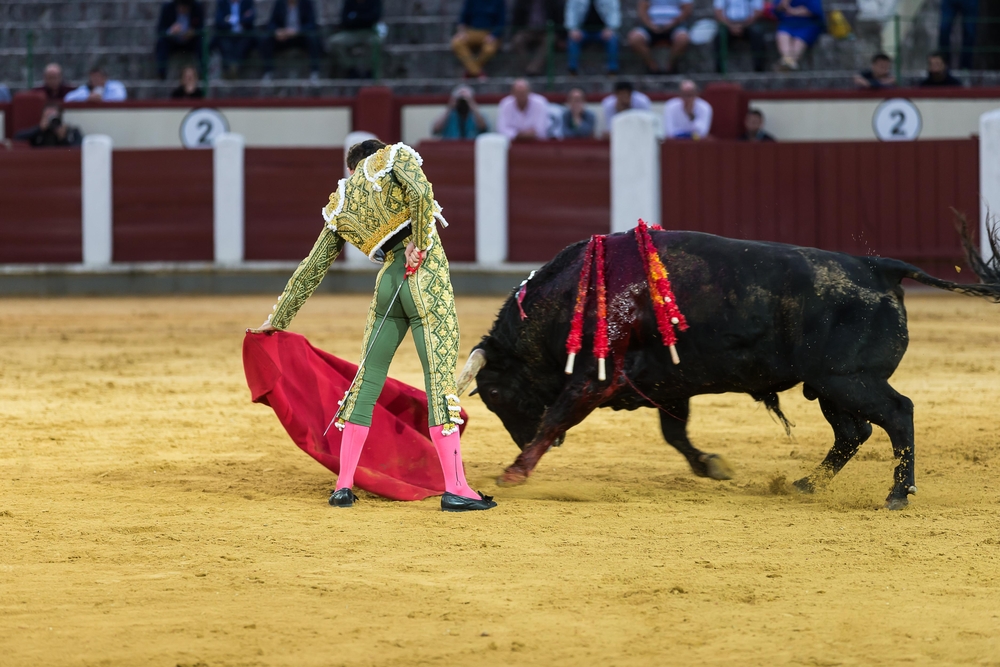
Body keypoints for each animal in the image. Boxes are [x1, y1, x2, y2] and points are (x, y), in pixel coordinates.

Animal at [456, 220, 1000, 512]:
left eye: (497, 396)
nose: (521, 443)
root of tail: (880, 267)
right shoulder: (668, 385)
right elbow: (675, 435)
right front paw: (712, 466)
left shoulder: (594, 378)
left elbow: (556, 416)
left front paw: (515, 472)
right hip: (829, 385)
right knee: (855, 432)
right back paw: (805, 484)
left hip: (848, 380)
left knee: (898, 413)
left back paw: (898, 493)